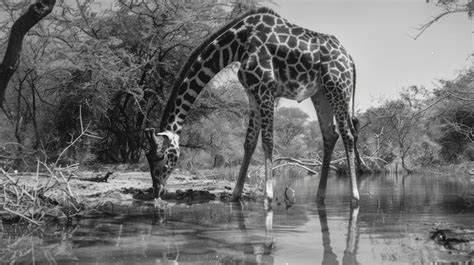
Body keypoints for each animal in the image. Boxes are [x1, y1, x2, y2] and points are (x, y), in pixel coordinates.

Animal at [146, 6, 362, 204]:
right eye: (148, 157)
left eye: (162, 158)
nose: (157, 192)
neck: (239, 44)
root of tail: (350, 59)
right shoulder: (252, 92)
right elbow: (249, 142)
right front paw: (235, 194)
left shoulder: (265, 88)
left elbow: (267, 140)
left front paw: (268, 195)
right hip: (321, 93)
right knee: (330, 134)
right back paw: (320, 196)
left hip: (338, 88)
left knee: (348, 134)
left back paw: (354, 196)